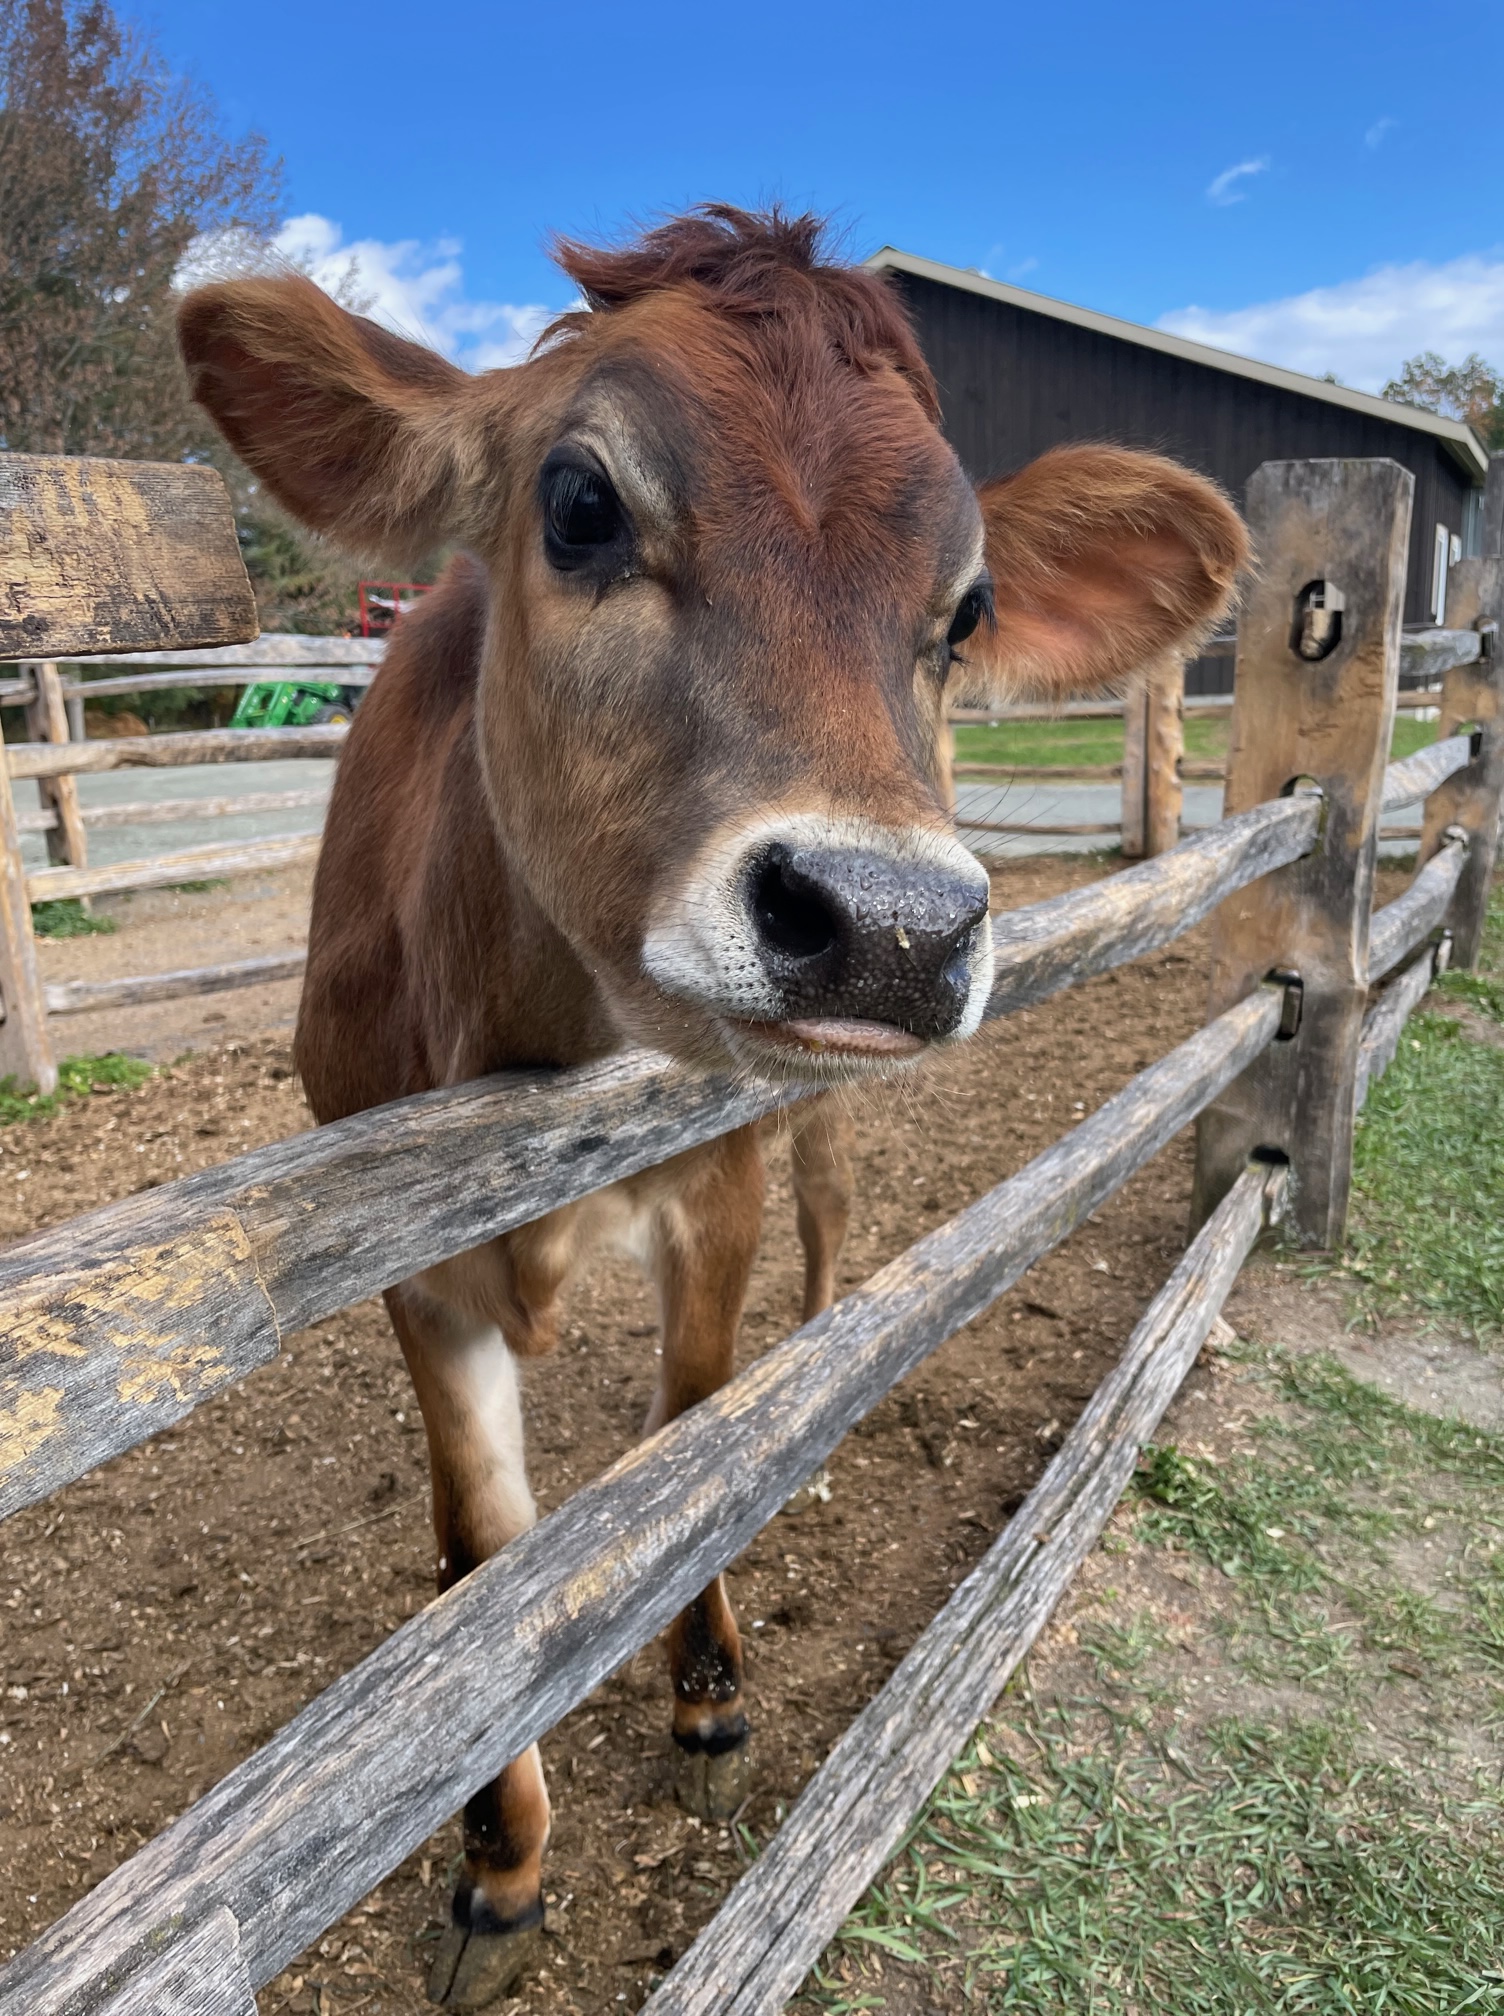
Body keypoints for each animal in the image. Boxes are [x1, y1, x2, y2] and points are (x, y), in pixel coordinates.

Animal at [178, 205, 1246, 2008]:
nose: (889, 926)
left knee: (829, 1226)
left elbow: (696, 1426)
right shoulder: (407, 1261)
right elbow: (482, 1549)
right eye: (578, 504)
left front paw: (707, 1684)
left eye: (964, 611)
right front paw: (501, 1858)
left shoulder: (721, 1169)